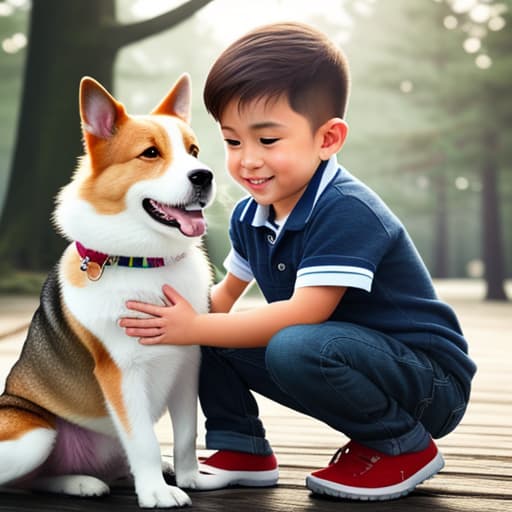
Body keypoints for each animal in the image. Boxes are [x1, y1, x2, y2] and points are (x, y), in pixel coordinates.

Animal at [0, 73, 215, 508]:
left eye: (193, 151)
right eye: (150, 153)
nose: (204, 175)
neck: (145, 263)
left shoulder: (188, 364)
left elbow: (187, 434)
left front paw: (188, 477)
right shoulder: (121, 371)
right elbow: (144, 441)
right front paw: (156, 493)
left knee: (40, 478)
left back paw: (86, 481)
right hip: (35, 435)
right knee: (24, 477)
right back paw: (84, 482)